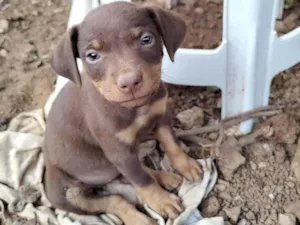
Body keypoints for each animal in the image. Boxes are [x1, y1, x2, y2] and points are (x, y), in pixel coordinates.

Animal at [43, 2, 203, 225]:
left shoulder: (162, 116)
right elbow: (142, 181)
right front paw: (161, 201)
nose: (130, 82)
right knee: (116, 199)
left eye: (147, 39)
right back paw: (139, 218)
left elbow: (171, 144)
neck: (136, 108)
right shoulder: (118, 151)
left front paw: (185, 164)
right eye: (92, 56)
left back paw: (165, 177)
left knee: (128, 175)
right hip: (68, 194)